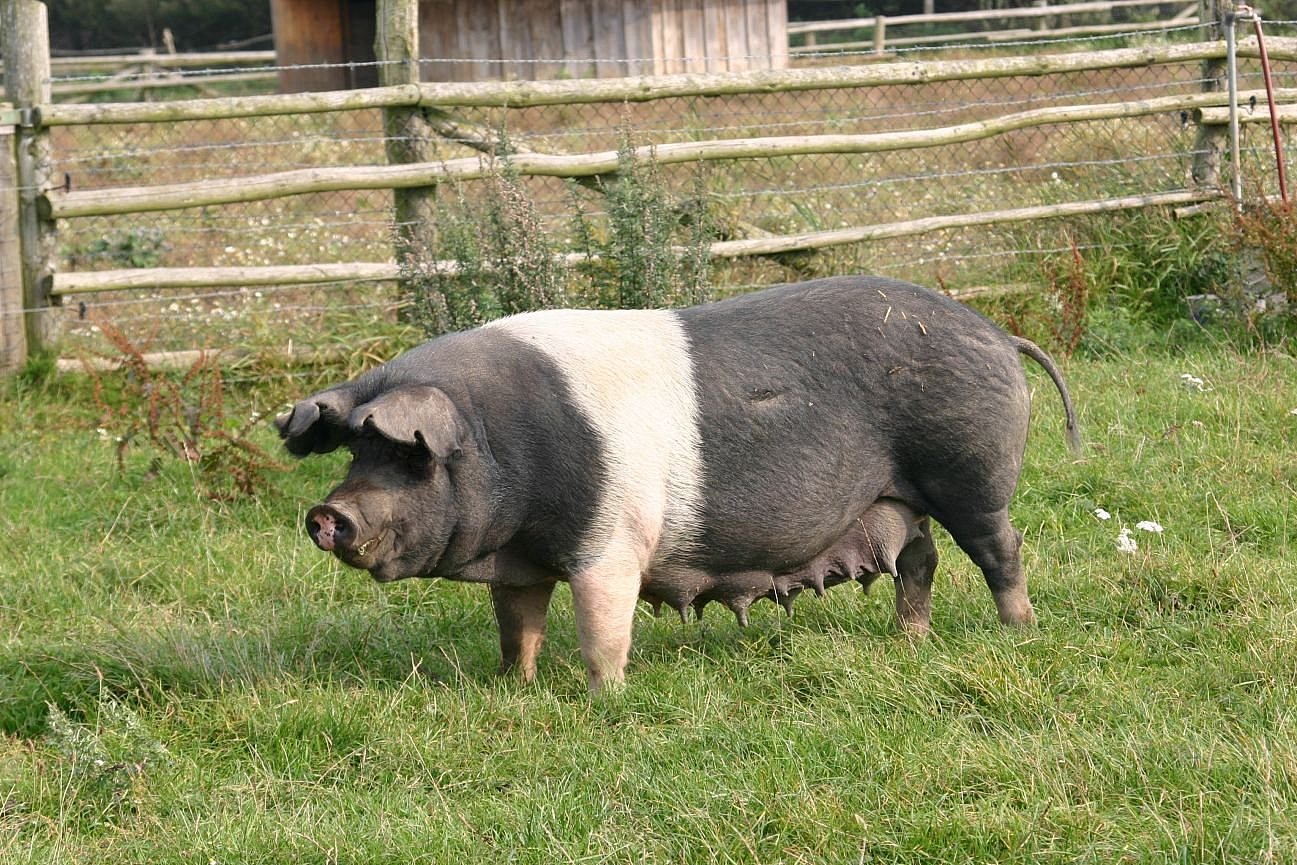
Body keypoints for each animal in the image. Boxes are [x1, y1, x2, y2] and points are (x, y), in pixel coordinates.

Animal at [278, 273, 1079, 695]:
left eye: (409, 459)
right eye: (354, 455)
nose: (325, 513)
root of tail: (998, 334)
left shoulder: (611, 545)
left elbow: (603, 627)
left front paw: (605, 697)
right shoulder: (523, 563)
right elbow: (519, 624)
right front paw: (517, 685)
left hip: (970, 471)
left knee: (999, 548)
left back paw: (1019, 630)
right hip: (898, 498)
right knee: (920, 559)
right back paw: (911, 640)